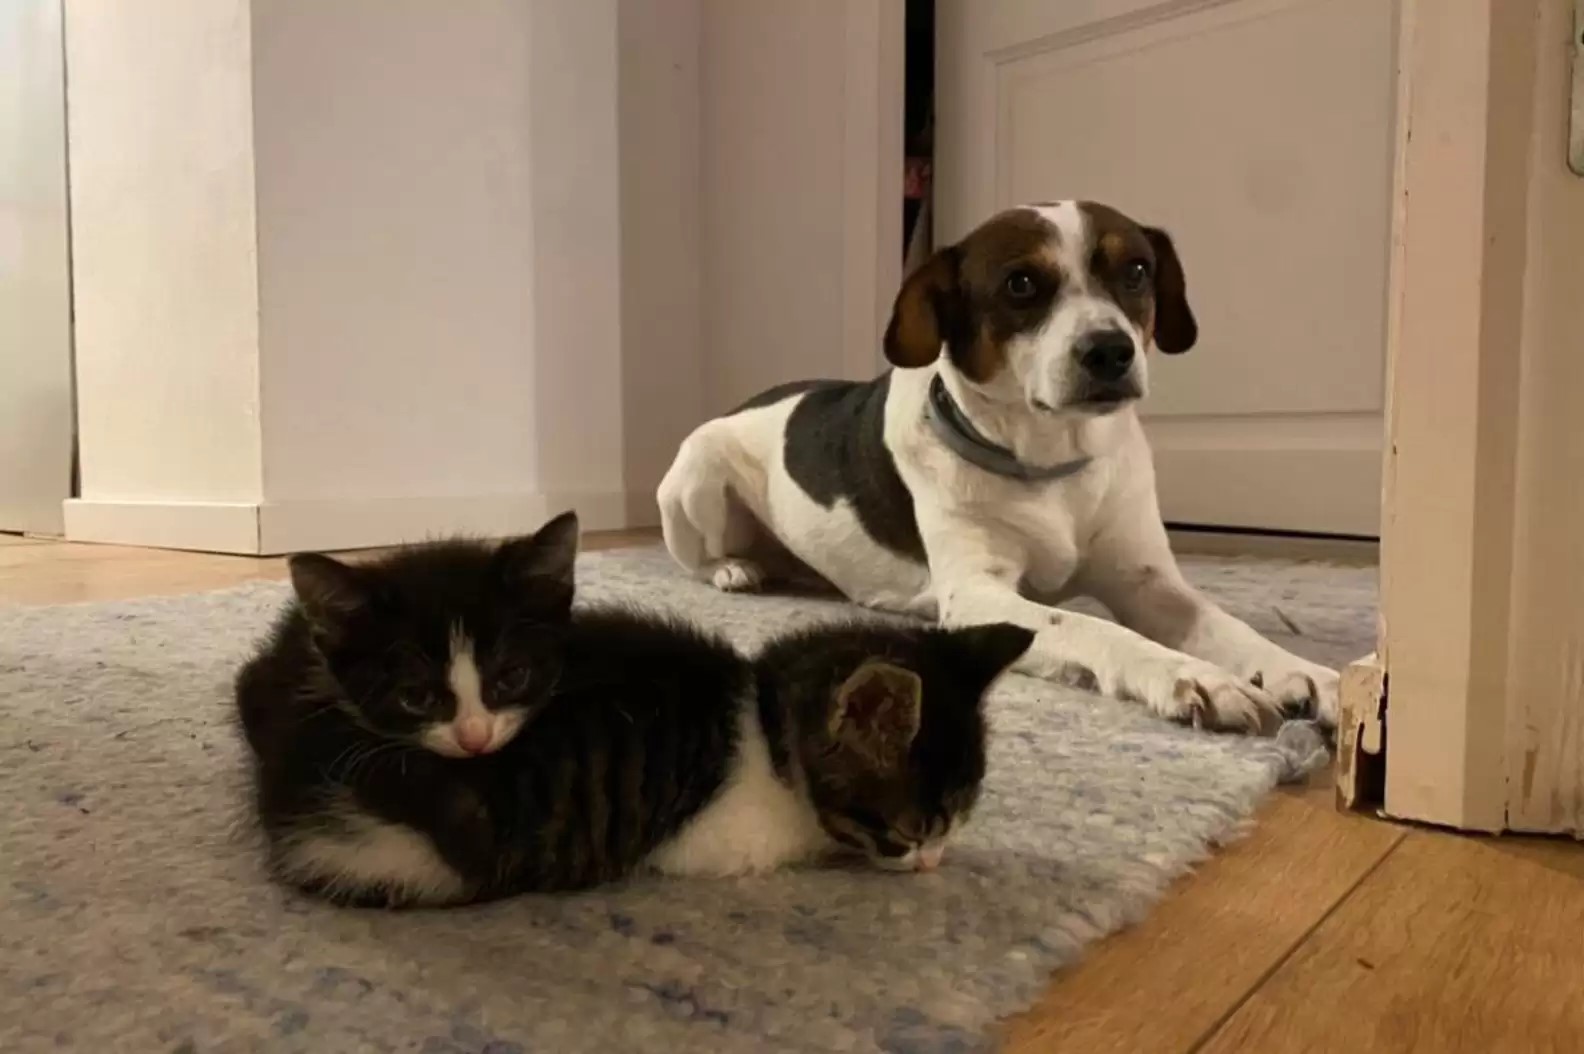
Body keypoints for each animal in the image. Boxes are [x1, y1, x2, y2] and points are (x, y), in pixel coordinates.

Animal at [662, 202, 1343, 732]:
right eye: (1020, 284)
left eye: (1136, 271)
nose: (1110, 351)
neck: (1052, 463)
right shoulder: (979, 593)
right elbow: (1093, 628)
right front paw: (1192, 677)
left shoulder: (1148, 581)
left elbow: (1227, 626)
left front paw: (1303, 672)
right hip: (695, 479)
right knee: (700, 555)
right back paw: (733, 569)